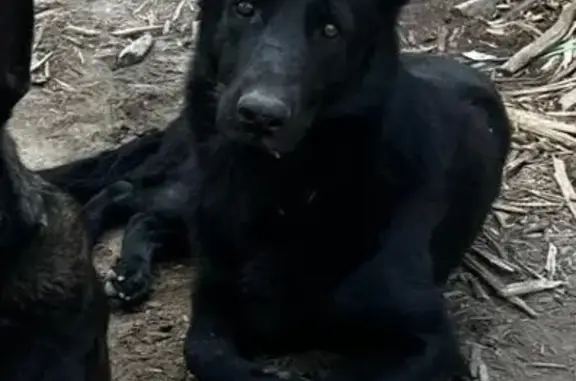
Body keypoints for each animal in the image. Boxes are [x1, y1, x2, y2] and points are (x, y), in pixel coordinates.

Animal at [41, 0, 512, 378]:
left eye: (330, 30)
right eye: (244, 9)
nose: (259, 115)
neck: (291, 192)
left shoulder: (431, 342)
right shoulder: (214, 302)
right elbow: (203, 353)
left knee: (142, 209)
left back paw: (129, 272)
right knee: (126, 195)